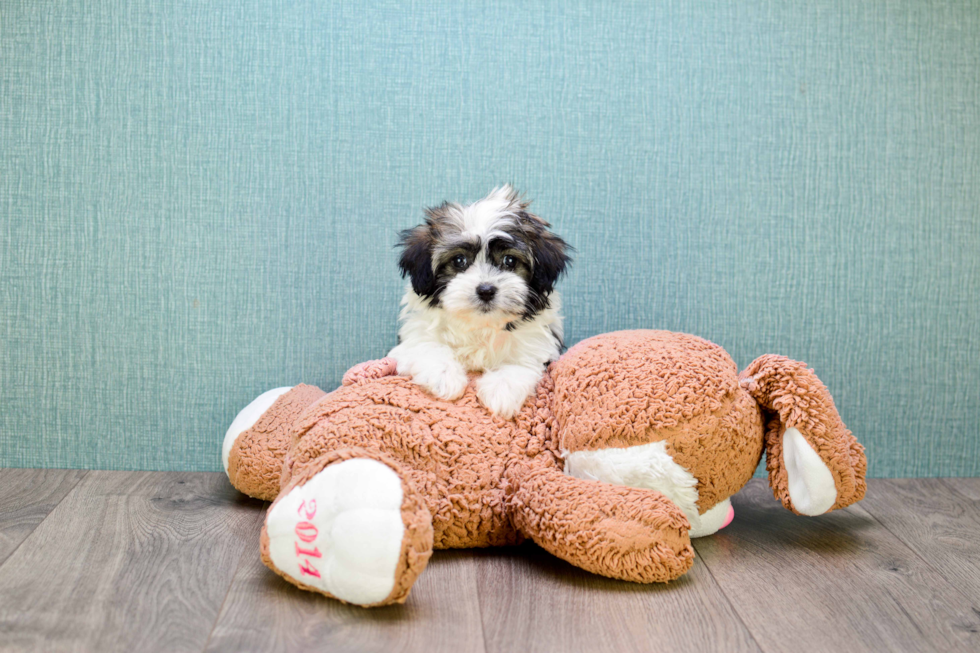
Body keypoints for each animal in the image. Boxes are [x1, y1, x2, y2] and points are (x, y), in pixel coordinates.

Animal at [390, 183, 572, 418]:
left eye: (509, 260)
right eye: (459, 260)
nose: (486, 290)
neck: (481, 325)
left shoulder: (538, 344)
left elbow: (522, 362)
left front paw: (502, 390)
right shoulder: (415, 334)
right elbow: (427, 345)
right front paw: (444, 376)